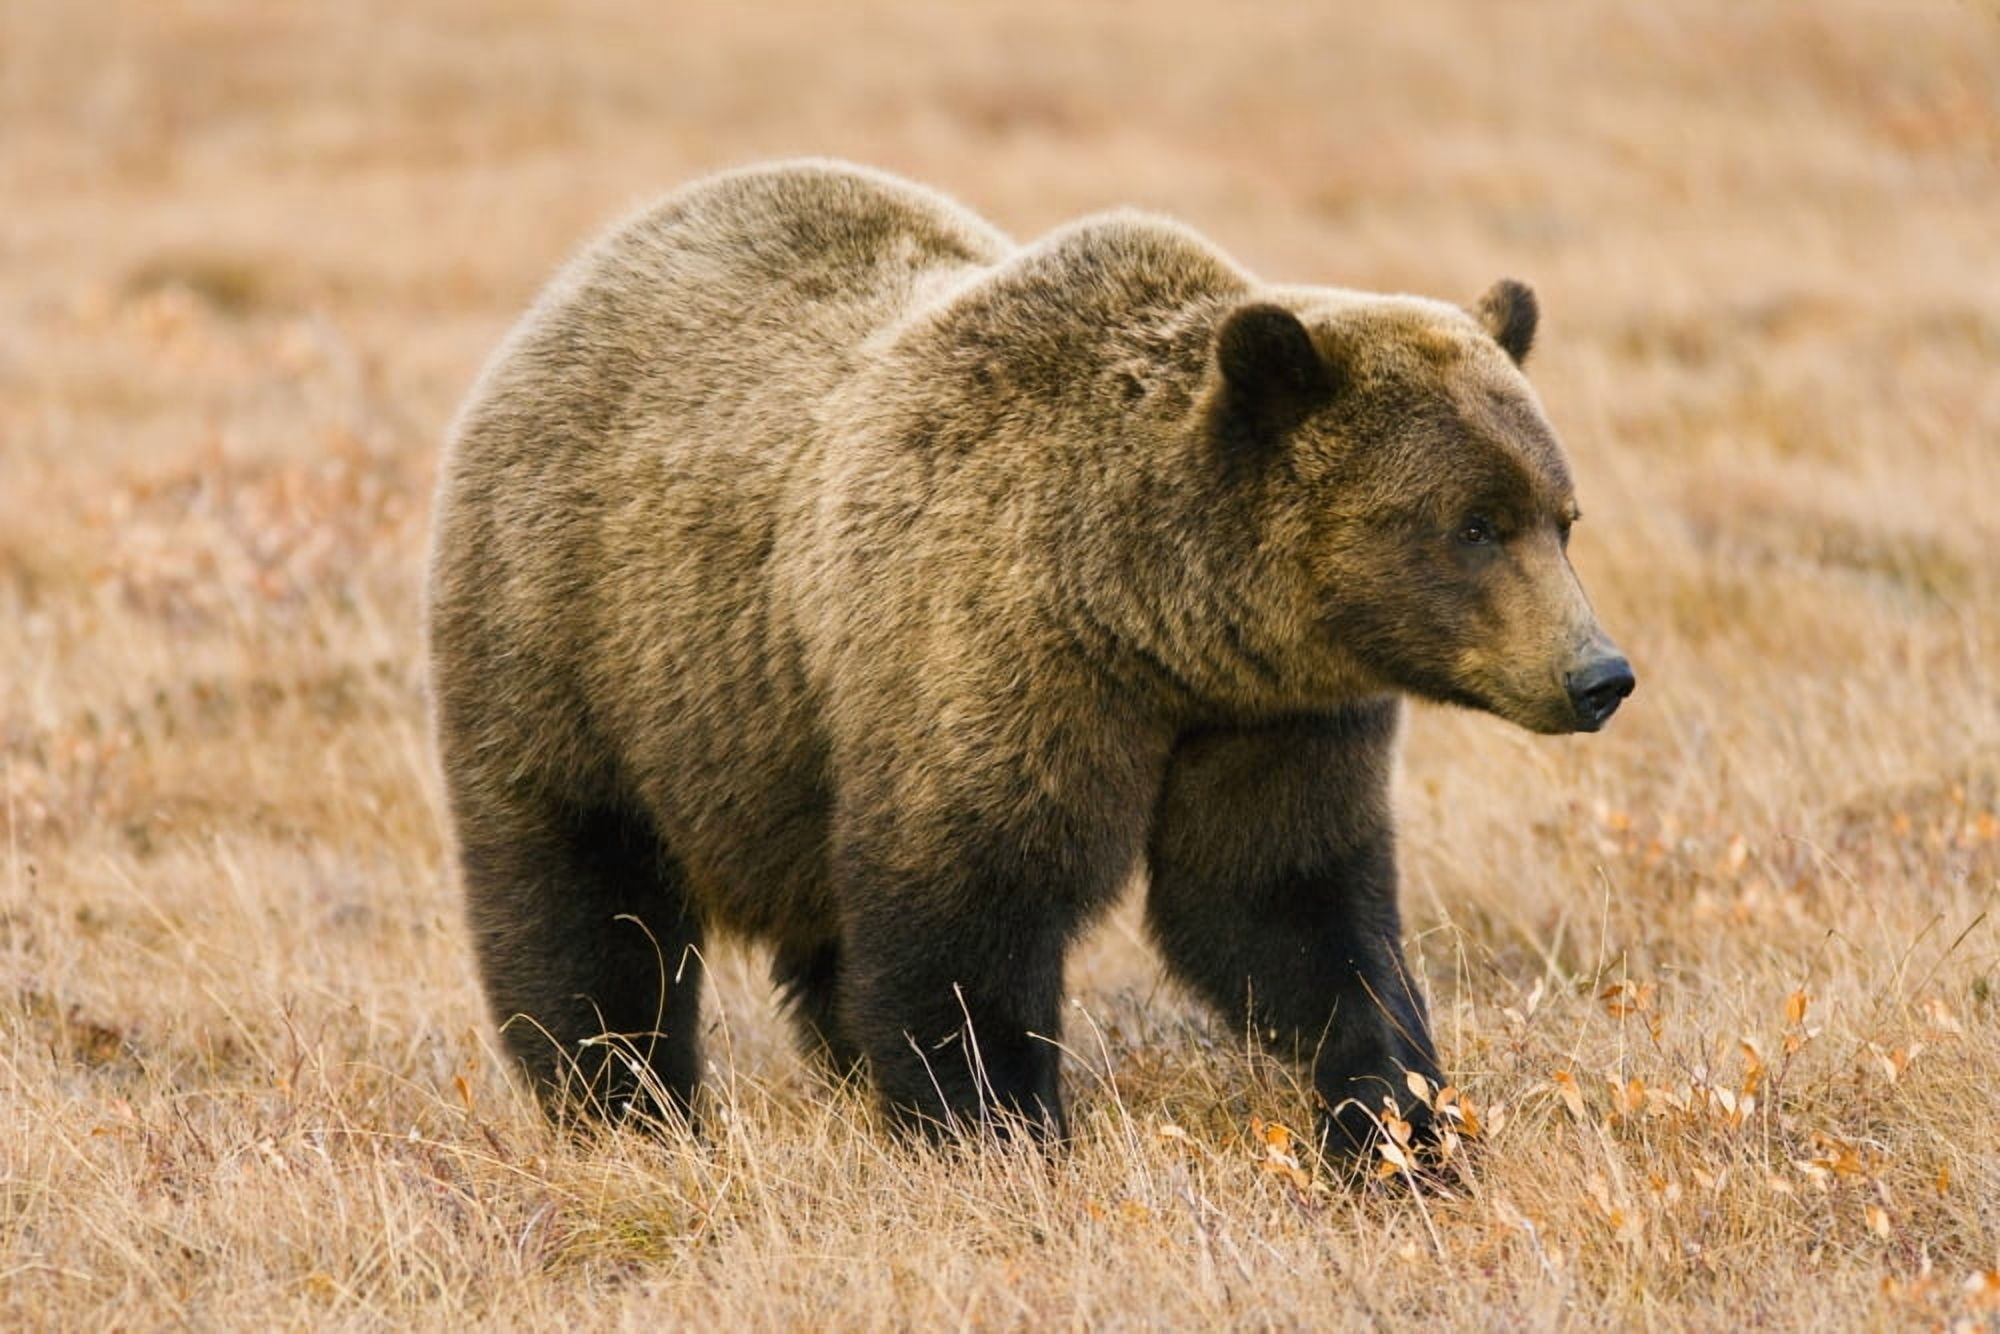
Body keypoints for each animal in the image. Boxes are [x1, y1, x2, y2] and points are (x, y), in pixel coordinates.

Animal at [425, 159, 1633, 1157]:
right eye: (1471, 524)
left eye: (1559, 516)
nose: (1598, 675)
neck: (1151, 621)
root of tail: (583, 276)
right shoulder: (996, 660)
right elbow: (968, 917)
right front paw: (1000, 1130)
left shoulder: (1270, 718)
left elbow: (1287, 907)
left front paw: (1397, 1122)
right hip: (587, 645)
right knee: (585, 903)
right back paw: (624, 1105)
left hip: (787, 742)